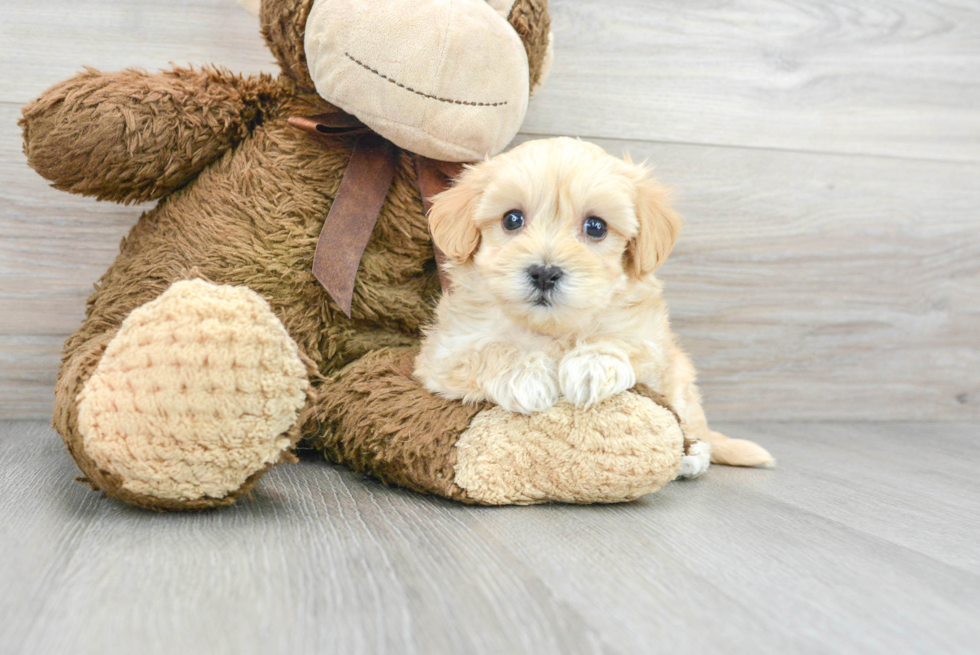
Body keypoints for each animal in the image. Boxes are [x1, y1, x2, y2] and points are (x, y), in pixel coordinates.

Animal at [414, 138, 772, 468]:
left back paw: (694, 456)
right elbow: (487, 348)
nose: (545, 273)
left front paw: (591, 365)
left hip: (682, 381)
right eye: (512, 220)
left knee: (692, 422)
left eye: (596, 226)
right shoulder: (445, 350)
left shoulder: (652, 344)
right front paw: (526, 374)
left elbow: (623, 341)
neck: (553, 329)